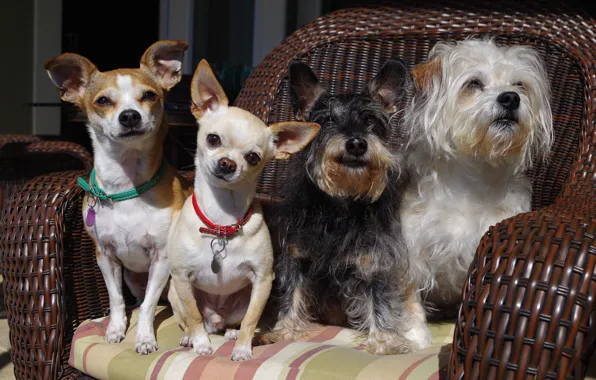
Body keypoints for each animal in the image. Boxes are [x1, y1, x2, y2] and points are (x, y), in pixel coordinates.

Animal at [45, 40, 192, 354]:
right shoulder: (106, 256)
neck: (127, 185)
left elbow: (149, 305)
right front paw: (115, 329)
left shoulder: (161, 258)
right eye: (102, 101)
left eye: (149, 96)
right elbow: (116, 299)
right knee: (135, 297)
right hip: (131, 277)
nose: (130, 115)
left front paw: (145, 338)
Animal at [165, 58, 318, 360]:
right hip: (174, 294)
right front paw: (201, 344)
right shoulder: (182, 278)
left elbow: (251, 319)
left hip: (240, 299)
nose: (227, 163)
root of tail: (217, 318)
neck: (222, 220)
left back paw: (231, 333)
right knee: (193, 319)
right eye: (213, 139)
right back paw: (191, 337)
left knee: (233, 321)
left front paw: (244, 348)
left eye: (253, 157)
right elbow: (193, 316)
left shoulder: (263, 280)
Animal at [258, 58, 434, 354]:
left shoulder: (376, 263)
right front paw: (284, 331)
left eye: (370, 120)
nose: (356, 143)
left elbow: (380, 302)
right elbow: (292, 295)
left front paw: (384, 341)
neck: (338, 208)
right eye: (328, 119)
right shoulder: (295, 258)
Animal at [400, 36, 556, 314]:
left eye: (519, 85)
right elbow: (411, 300)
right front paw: (415, 327)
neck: (474, 179)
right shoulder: (412, 251)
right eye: (473, 83)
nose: (511, 98)